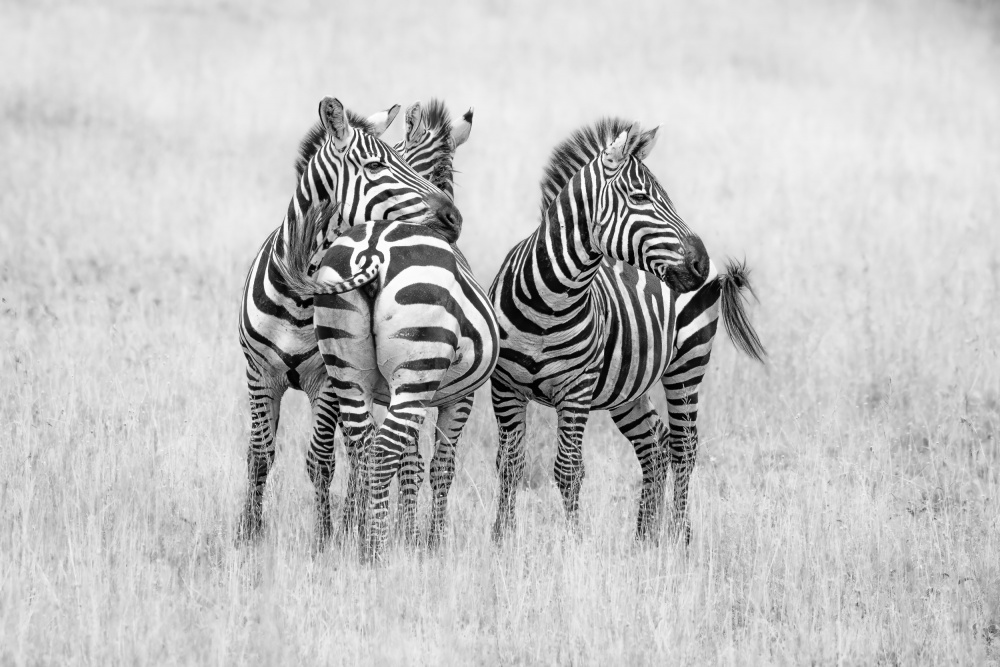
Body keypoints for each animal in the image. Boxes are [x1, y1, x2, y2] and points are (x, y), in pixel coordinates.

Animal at [238, 95, 468, 544]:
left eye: (403, 159)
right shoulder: (259, 373)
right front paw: (248, 534)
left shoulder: (327, 382)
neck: (299, 297)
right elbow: (260, 455)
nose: (453, 217)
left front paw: (325, 537)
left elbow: (322, 461)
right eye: (377, 166)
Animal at [486, 117, 764, 544]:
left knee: (684, 448)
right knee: (655, 444)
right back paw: (643, 538)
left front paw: (572, 545)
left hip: (687, 366)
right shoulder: (504, 388)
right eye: (640, 197)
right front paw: (502, 540)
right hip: (628, 387)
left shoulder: (576, 390)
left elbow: (568, 470)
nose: (698, 264)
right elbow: (509, 464)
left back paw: (679, 536)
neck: (548, 304)